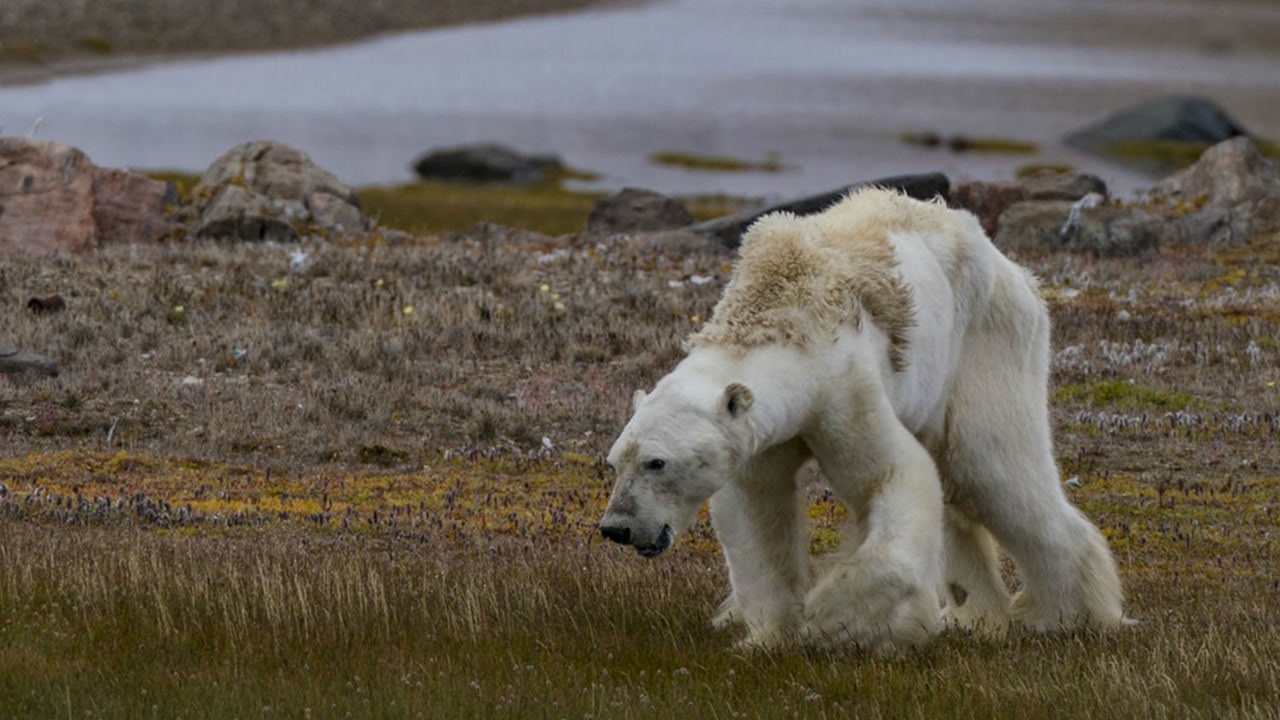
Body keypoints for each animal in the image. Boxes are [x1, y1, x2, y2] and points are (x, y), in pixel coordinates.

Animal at [593, 185, 1126, 650]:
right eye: (615, 462)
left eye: (657, 462)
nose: (616, 527)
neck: (779, 313)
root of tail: (1014, 269)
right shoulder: (760, 434)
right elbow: (756, 511)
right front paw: (769, 637)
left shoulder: (843, 387)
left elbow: (891, 476)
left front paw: (836, 619)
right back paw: (976, 614)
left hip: (985, 342)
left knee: (990, 468)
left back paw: (1065, 615)